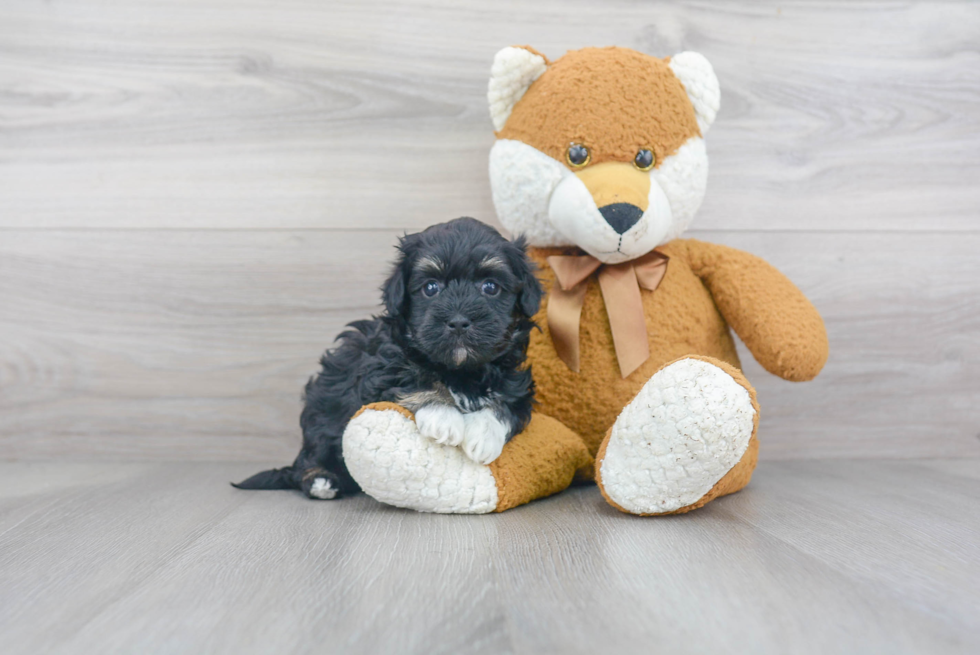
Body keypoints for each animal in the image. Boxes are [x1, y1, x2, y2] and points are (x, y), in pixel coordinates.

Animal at [236, 218, 544, 500]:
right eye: (431, 288)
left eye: (490, 287)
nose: (458, 321)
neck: (461, 370)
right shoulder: (380, 370)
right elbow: (414, 377)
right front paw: (443, 417)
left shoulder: (514, 378)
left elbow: (508, 402)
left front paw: (483, 435)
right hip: (321, 416)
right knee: (309, 459)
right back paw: (321, 481)